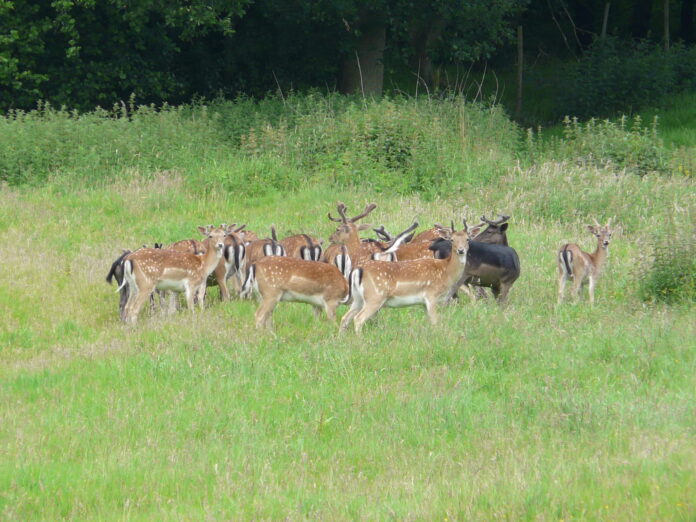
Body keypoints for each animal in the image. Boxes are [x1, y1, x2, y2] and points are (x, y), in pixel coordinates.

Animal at [340, 219, 481, 333]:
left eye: (467, 239)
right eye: (452, 240)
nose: (461, 250)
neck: (446, 271)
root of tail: (357, 270)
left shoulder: (424, 302)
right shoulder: (431, 295)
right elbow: (435, 322)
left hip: (358, 298)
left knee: (345, 318)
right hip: (375, 297)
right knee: (358, 319)